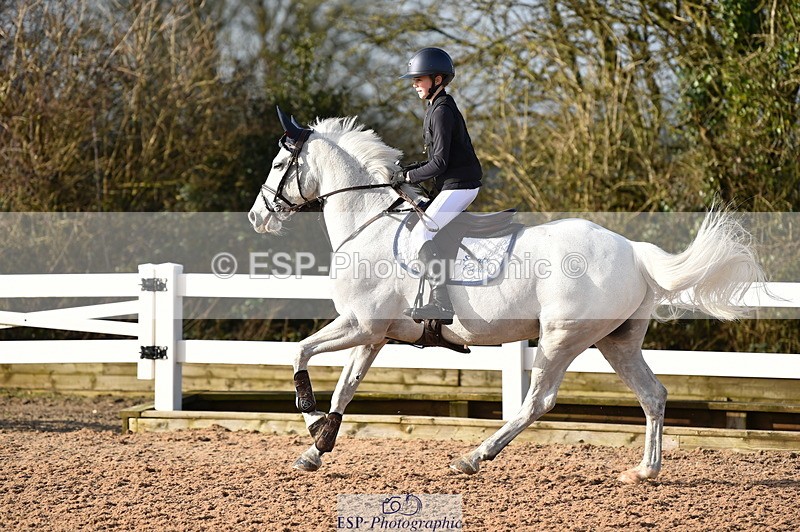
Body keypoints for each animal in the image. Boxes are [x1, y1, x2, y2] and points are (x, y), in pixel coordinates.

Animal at [247, 108, 764, 483]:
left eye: (277, 165)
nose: (257, 217)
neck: (368, 224)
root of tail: (633, 251)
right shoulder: (374, 334)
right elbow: (346, 387)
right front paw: (318, 447)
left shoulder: (360, 324)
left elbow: (299, 354)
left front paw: (311, 419)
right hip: (616, 341)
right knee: (653, 395)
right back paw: (644, 471)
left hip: (560, 339)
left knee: (537, 402)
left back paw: (473, 457)